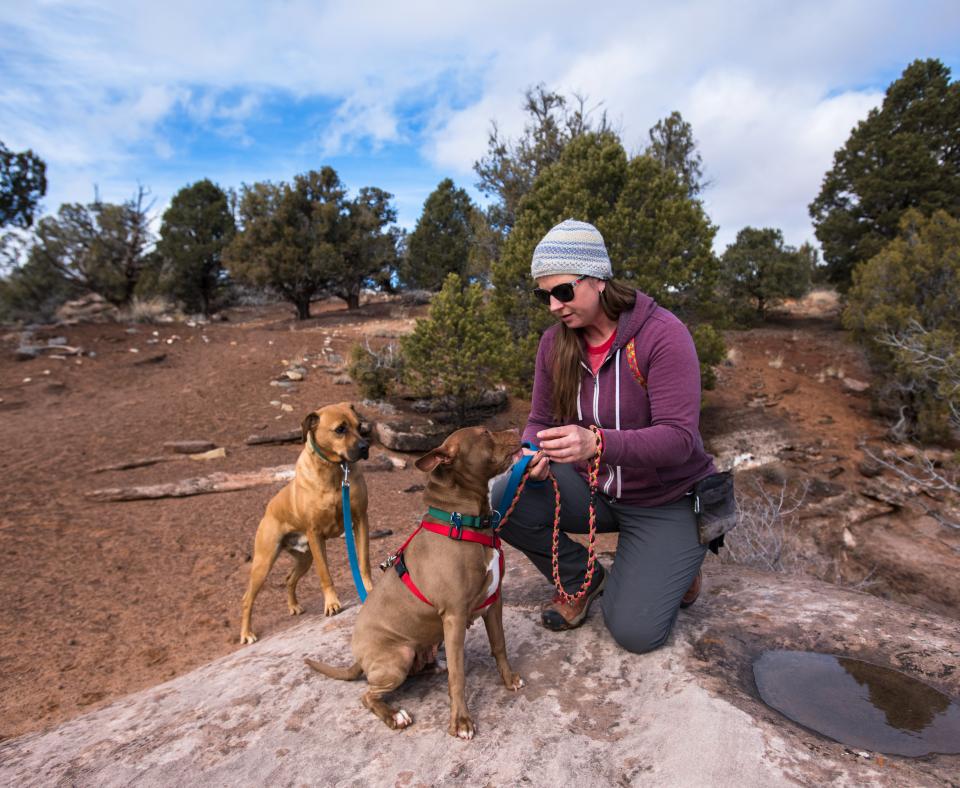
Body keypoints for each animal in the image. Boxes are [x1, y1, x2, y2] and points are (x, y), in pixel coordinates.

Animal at [238, 404, 374, 644]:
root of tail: (268, 509)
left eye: (359, 426)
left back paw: (293, 606)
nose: (365, 447)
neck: (334, 470)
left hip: (305, 557)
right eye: (340, 429)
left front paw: (369, 588)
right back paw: (246, 633)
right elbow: (325, 574)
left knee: (289, 579)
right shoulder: (315, 533)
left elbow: (363, 562)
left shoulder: (360, 520)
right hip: (264, 562)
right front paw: (332, 604)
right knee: (247, 599)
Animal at [306, 424, 524, 740]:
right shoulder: (454, 616)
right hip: (399, 655)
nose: (518, 429)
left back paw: (435, 664)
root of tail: (359, 660)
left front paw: (509, 680)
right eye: (484, 432)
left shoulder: (494, 602)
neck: (462, 521)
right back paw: (395, 715)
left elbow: (500, 646)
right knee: (368, 695)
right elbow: (458, 676)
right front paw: (461, 722)